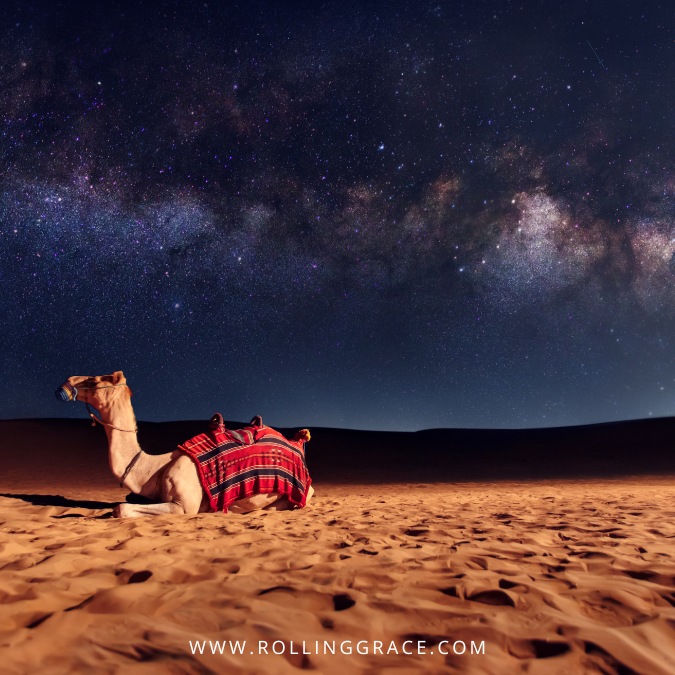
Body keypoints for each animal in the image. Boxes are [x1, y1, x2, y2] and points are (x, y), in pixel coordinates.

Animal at [54, 372, 314, 520]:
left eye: (94, 381)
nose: (64, 384)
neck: (154, 469)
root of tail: (298, 443)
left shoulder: (183, 506)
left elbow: (121, 509)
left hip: (299, 493)